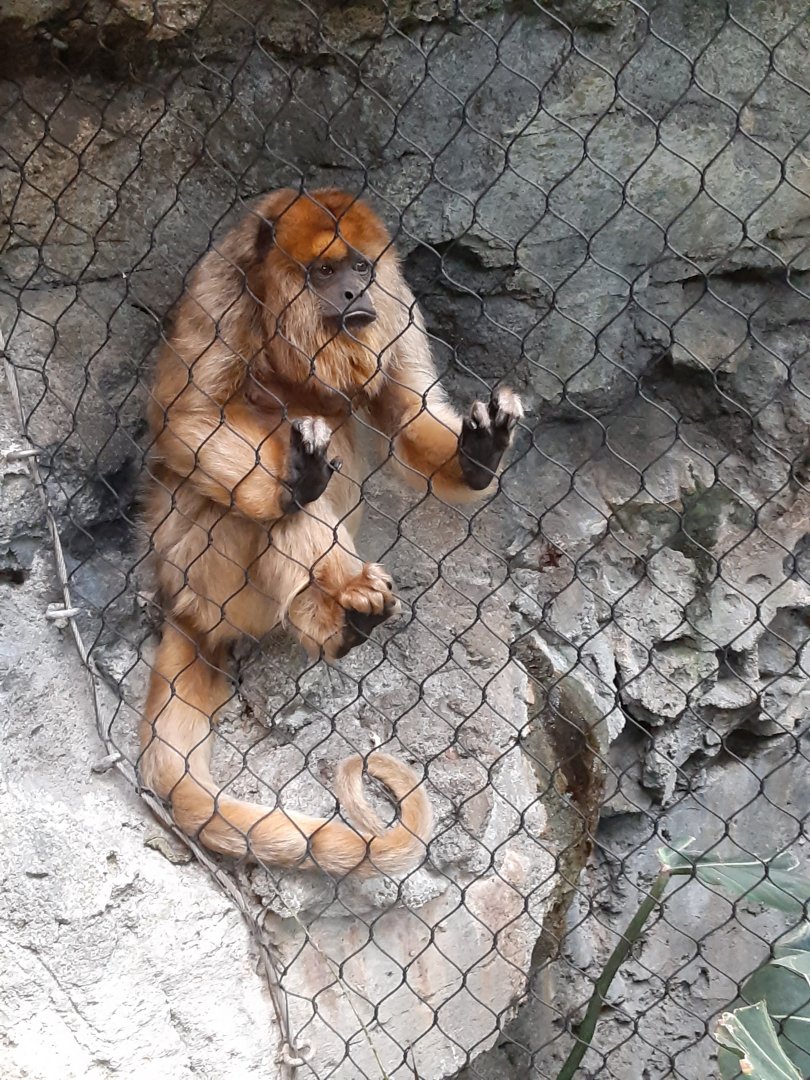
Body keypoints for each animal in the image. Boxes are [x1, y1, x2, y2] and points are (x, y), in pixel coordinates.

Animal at [139, 187, 523, 879]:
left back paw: (340, 614)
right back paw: (332, 575)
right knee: (247, 501)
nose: (350, 293)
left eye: (360, 268)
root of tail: (178, 603)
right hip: (201, 569)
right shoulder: (218, 291)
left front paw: (478, 454)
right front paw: (293, 482)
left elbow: (409, 413)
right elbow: (186, 418)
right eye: (324, 271)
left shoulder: (395, 304)